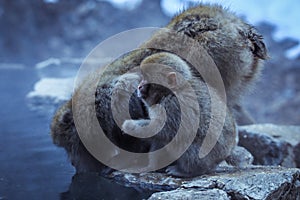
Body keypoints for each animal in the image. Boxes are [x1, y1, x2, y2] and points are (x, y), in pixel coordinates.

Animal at [51, 3, 268, 175]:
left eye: (68, 145)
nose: (73, 162)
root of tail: (237, 26)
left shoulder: (109, 99)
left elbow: (127, 93)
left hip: (215, 49)